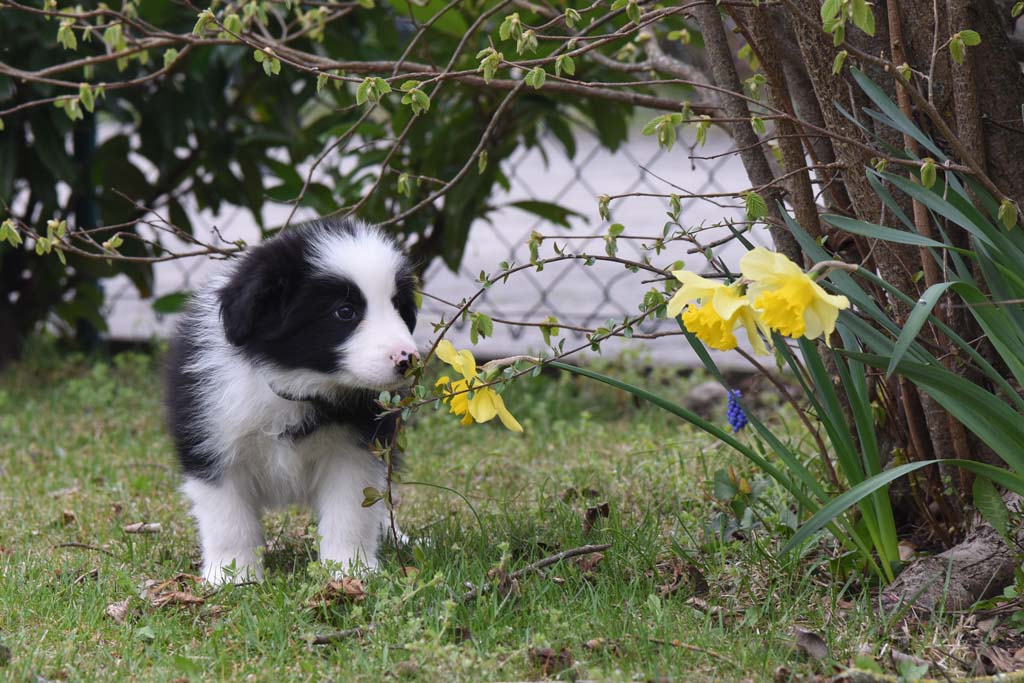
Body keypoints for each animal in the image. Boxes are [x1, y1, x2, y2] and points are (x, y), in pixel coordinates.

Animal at [163, 222, 415, 585]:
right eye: (345, 312)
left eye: (397, 304)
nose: (407, 359)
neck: (296, 384)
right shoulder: (211, 440)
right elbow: (228, 518)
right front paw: (232, 575)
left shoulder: (354, 451)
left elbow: (350, 511)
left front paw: (349, 570)